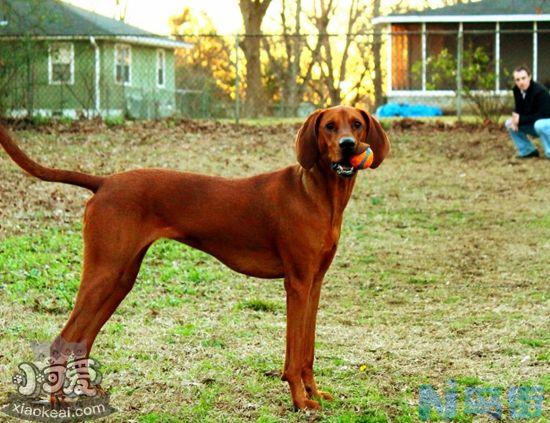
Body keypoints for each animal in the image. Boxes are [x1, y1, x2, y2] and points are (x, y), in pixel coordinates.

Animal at [0, 107, 390, 410]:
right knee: (63, 337)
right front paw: (299, 400)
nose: (348, 146)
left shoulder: (314, 283)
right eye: (329, 126)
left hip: (120, 278)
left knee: (82, 338)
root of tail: (104, 182)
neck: (317, 194)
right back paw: (56, 401)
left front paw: (314, 393)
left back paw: (87, 391)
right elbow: (294, 355)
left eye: (356, 124)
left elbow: (307, 351)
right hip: (104, 272)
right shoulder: (296, 283)